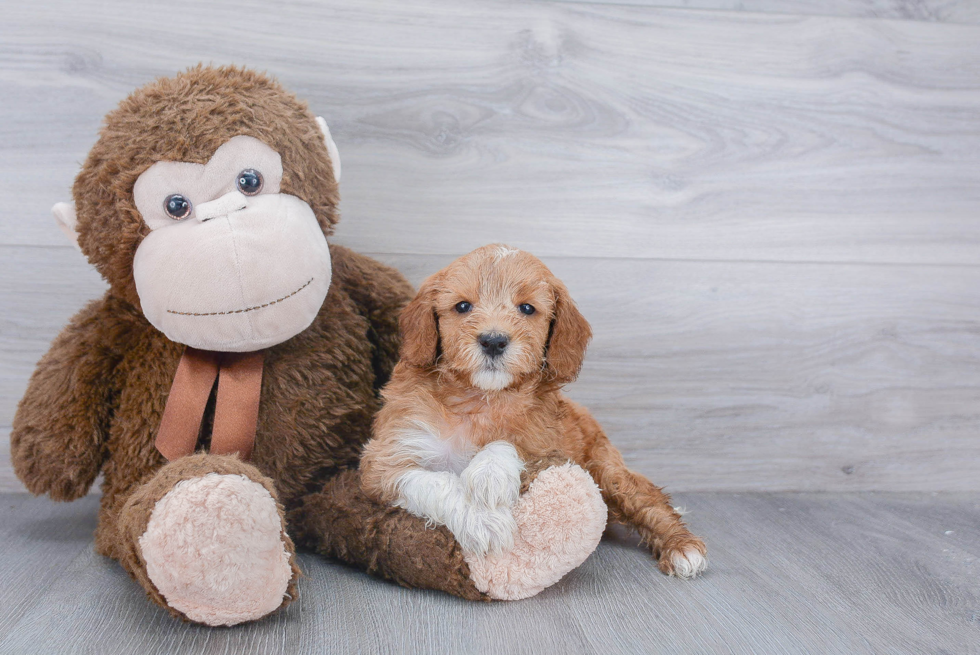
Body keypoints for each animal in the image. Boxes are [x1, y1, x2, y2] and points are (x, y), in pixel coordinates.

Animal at [360, 245, 704, 580]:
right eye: (462, 306)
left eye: (526, 309)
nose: (493, 340)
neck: (481, 398)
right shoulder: (385, 461)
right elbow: (435, 482)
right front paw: (481, 520)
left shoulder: (549, 447)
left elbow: (510, 442)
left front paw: (489, 474)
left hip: (607, 470)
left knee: (647, 499)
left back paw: (682, 547)